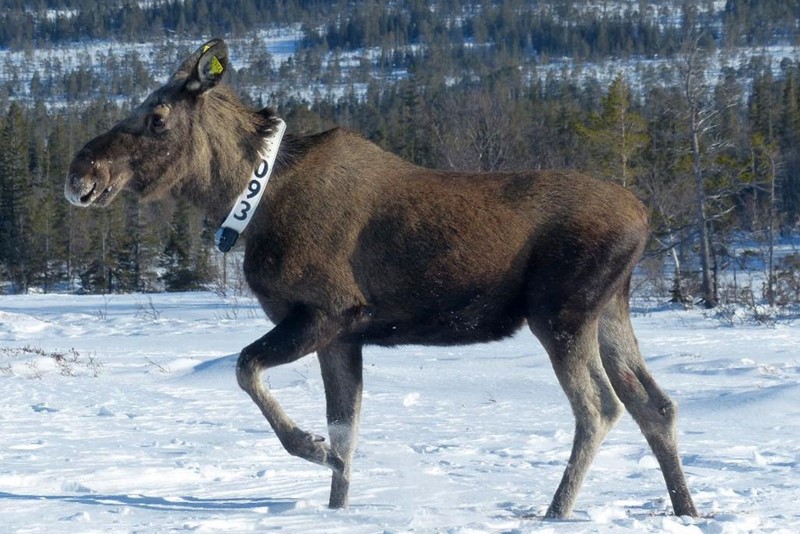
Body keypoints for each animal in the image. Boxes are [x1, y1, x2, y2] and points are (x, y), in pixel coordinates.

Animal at [65, 39, 696, 520]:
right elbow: (347, 428)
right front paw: (335, 498)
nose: (80, 173)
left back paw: (555, 512)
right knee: (656, 405)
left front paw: (313, 449)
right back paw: (685, 508)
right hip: (609, 309)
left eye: (157, 119)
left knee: (599, 408)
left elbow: (249, 372)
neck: (249, 203)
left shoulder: (329, 312)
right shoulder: (344, 336)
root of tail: (645, 218)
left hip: (561, 312)